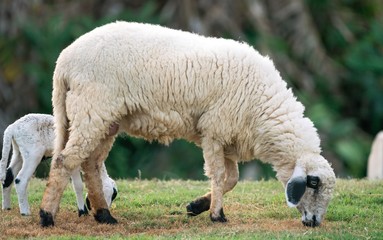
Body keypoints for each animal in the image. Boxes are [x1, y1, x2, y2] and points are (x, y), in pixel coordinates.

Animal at [39, 20, 336, 227]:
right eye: (313, 184)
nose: (314, 223)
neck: (264, 110)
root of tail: (64, 61)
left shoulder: (227, 137)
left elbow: (232, 179)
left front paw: (198, 205)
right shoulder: (215, 129)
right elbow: (219, 176)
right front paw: (217, 215)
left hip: (104, 118)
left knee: (90, 164)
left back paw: (104, 215)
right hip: (91, 110)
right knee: (65, 160)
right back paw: (46, 216)